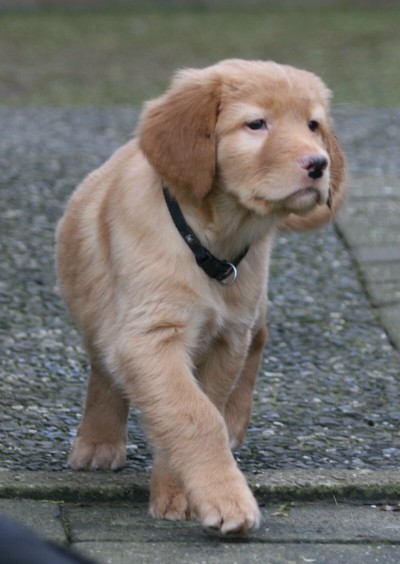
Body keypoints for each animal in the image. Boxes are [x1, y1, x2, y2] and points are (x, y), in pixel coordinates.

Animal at [55, 59, 344, 536]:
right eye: (256, 124)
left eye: (313, 125)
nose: (319, 164)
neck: (211, 243)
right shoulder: (149, 336)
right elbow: (191, 414)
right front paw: (224, 499)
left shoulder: (226, 339)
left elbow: (206, 407)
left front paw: (182, 492)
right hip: (100, 315)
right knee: (103, 367)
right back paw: (98, 441)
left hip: (250, 306)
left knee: (259, 337)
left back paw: (235, 422)